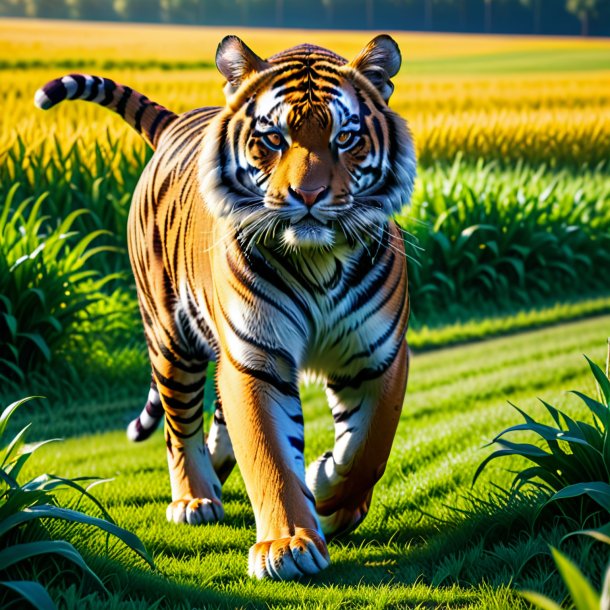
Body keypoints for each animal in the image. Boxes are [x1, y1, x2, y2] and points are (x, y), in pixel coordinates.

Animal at [35, 34, 416, 580]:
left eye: (345, 138)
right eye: (273, 139)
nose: (308, 195)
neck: (319, 259)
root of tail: (175, 122)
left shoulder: (379, 355)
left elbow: (370, 447)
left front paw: (330, 494)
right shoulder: (257, 357)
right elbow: (269, 454)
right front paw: (288, 543)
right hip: (171, 338)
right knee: (179, 426)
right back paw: (194, 498)